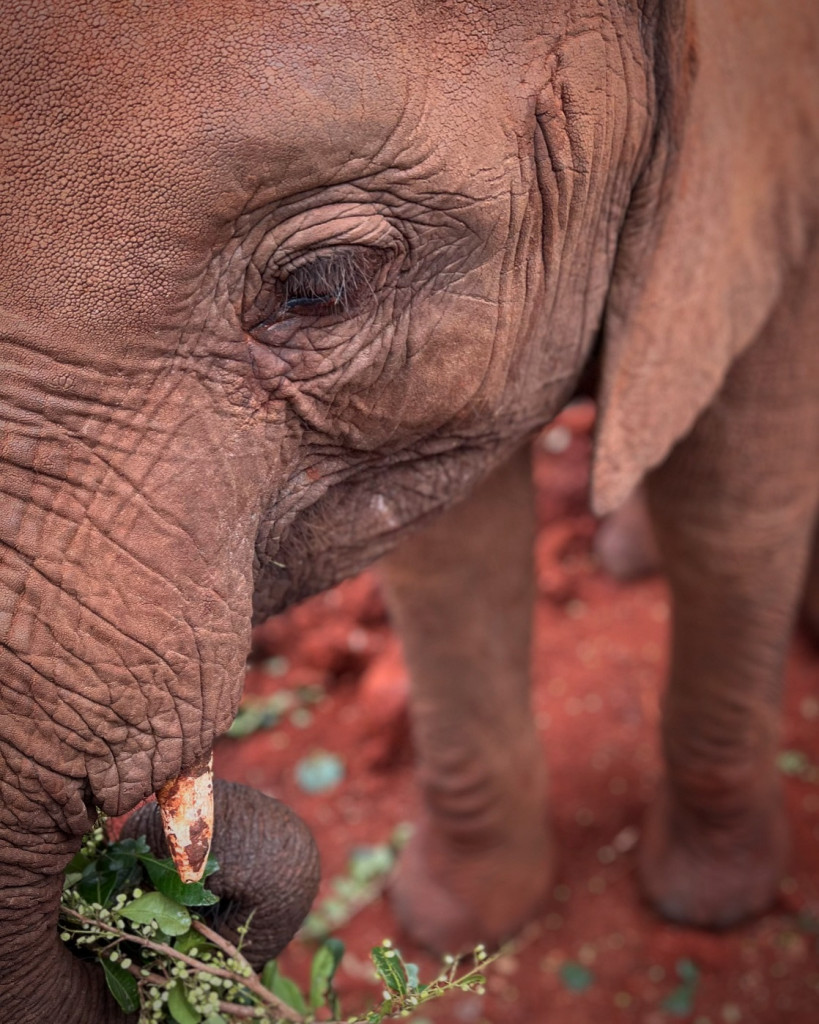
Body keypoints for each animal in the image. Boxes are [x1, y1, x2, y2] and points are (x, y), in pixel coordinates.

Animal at [1, 2, 818, 1024]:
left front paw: (709, 901)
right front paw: (458, 924)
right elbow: (452, 563)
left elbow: (733, 501)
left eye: (321, 284)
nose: (194, 907)